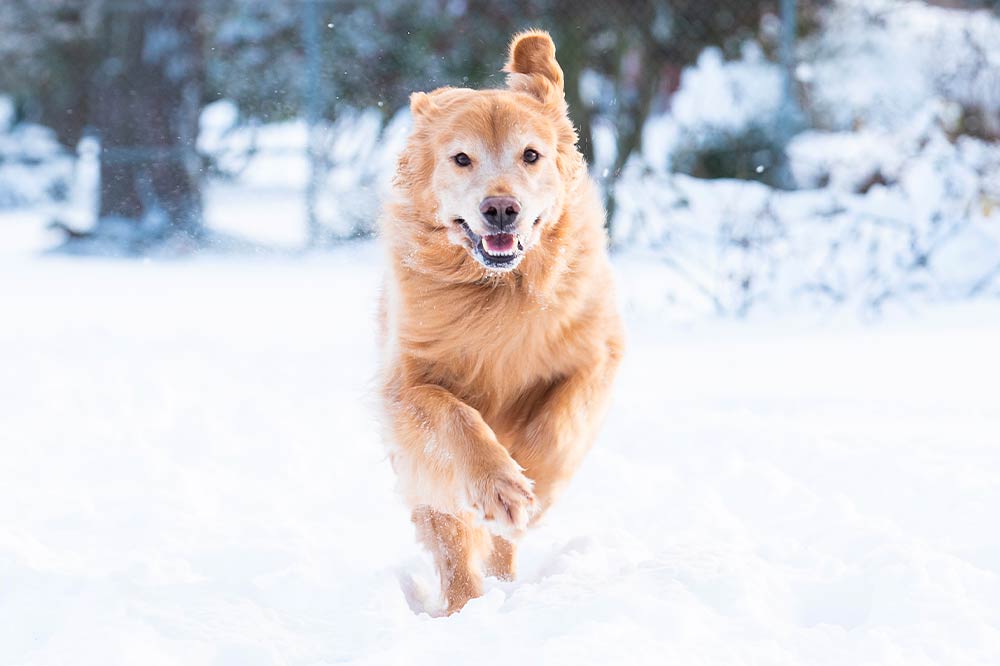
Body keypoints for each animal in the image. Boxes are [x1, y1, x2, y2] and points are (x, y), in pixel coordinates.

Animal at [378, 31, 620, 612]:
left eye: (531, 155)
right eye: (461, 158)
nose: (501, 208)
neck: (500, 293)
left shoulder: (593, 358)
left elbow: (556, 427)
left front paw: (531, 487)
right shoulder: (406, 385)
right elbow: (457, 419)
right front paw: (500, 487)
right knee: (450, 537)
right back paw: (466, 606)